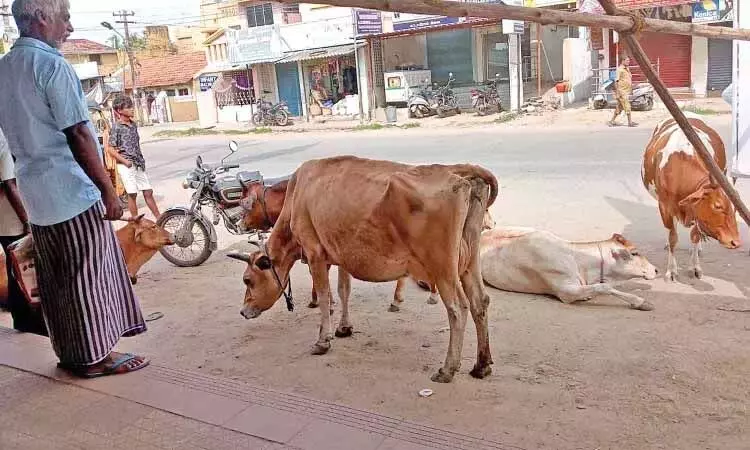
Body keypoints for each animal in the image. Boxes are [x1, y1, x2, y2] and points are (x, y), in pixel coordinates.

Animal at [229, 156, 500, 384]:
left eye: (247, 280)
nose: (242, 311)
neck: (296, 195)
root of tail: (458, 171)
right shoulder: (340, 254)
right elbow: (343, 290)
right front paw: (344, 328)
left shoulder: (315, 253)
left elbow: (325, 296)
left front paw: (323, 340)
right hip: (469, 260)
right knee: (480, 301)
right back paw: (482, 365)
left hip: (442, 266)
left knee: (458, 308)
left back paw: (447, 369)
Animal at [644, 112, 744, 282]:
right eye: (717, 205)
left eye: (736, 209)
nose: (735, 242)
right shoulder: (664, 206)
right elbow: (672, 237)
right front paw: (671, 270)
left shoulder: (698, 211)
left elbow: (695, 236)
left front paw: (695, 267)